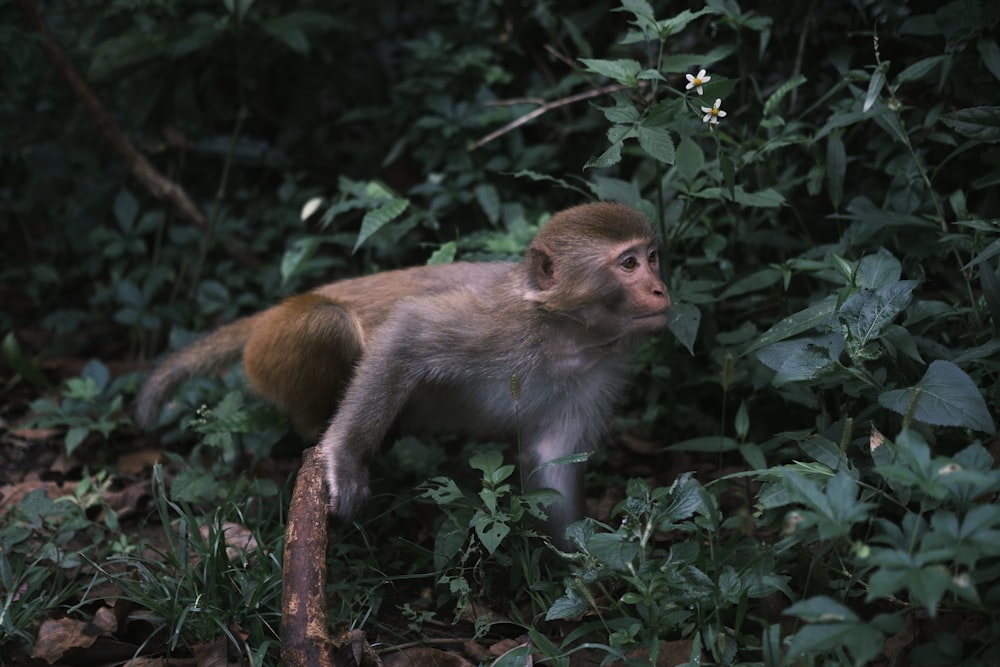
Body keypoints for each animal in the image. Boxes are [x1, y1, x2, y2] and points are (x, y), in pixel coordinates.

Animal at [137, 204, 672, 548]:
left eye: (652, 257)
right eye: (628, 264)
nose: (662, 290)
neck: (567, 333)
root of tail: (267, 315)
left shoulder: (599, 368)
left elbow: (553, 459)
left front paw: (581, 572)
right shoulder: (503, 327)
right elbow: (407, 331)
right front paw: (344, 460)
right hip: (270, 350)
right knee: (327, 321)